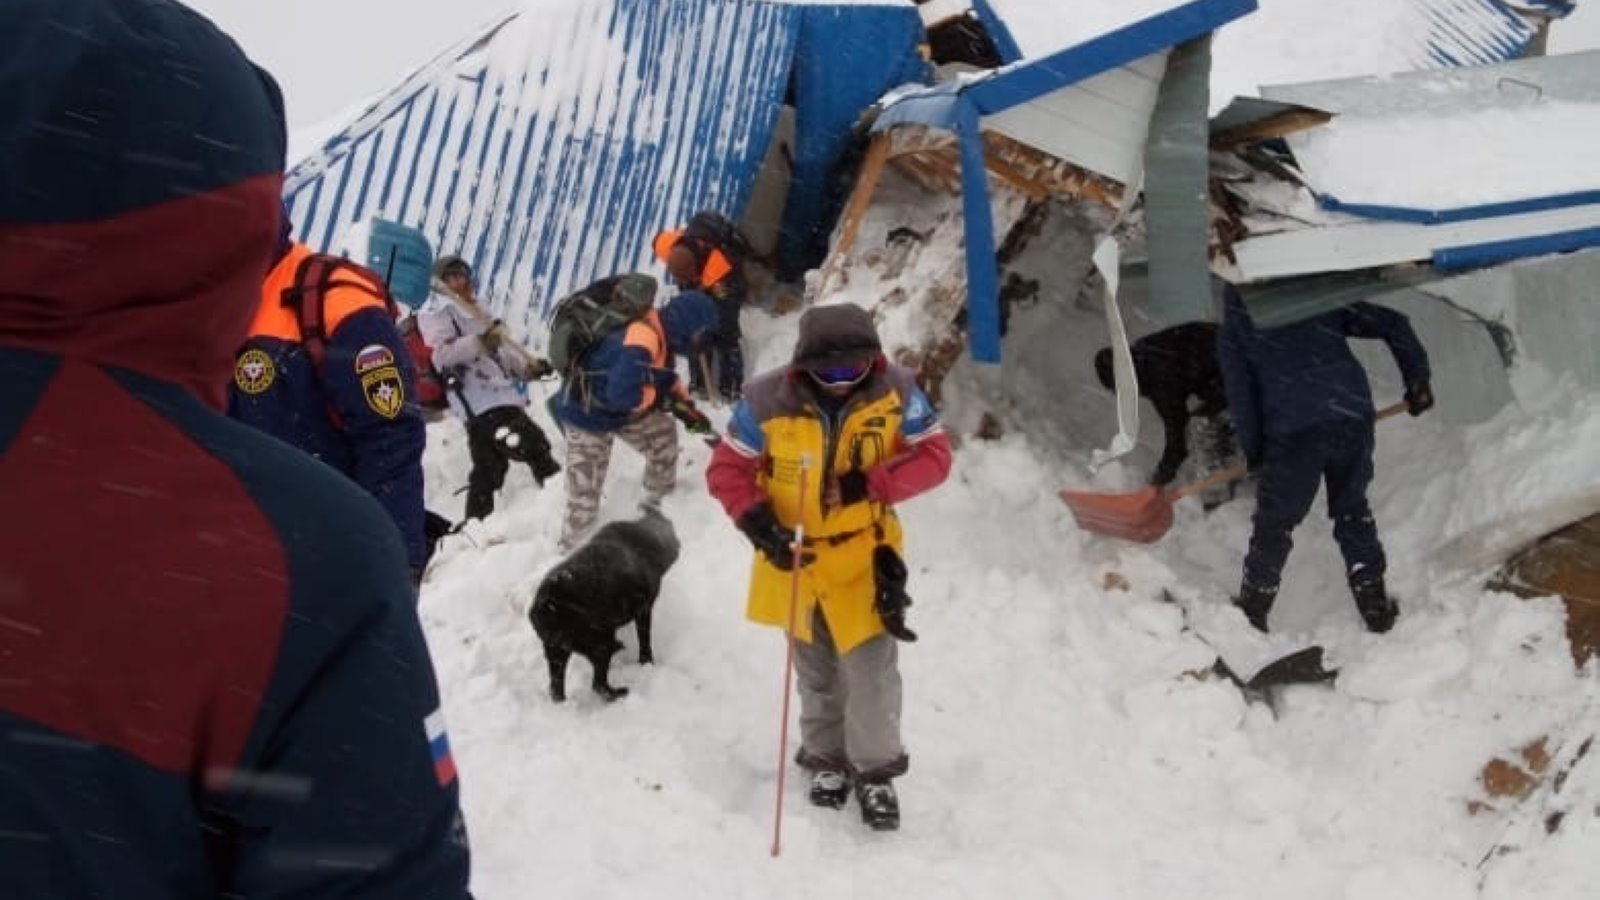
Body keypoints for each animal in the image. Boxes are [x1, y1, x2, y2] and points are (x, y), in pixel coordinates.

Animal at [524, 506, 675, 701]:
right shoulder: (644, 609)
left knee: (556, 689)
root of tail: (548, 602)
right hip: (600, 644)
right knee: (598, 685)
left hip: (556, 652)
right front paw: (647, 663)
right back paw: (619, 692)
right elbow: (645, 639)